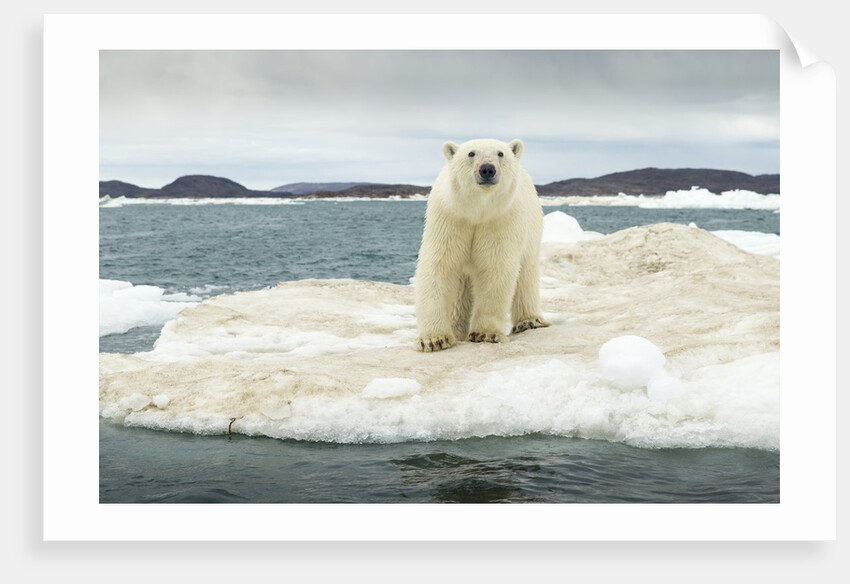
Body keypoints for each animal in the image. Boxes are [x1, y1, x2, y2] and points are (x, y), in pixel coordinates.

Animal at [414, 138, 550, 352]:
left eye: (500, 153)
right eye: (471, 153)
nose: (487, 169)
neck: (477, 211)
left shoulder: (500, 220)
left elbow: (495, 268)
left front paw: (485, 333)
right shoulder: (449, 218)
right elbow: (440, 265)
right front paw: (435, 339)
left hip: (531, 231)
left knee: (526, 274)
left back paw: (529, 321)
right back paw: (457, 328)